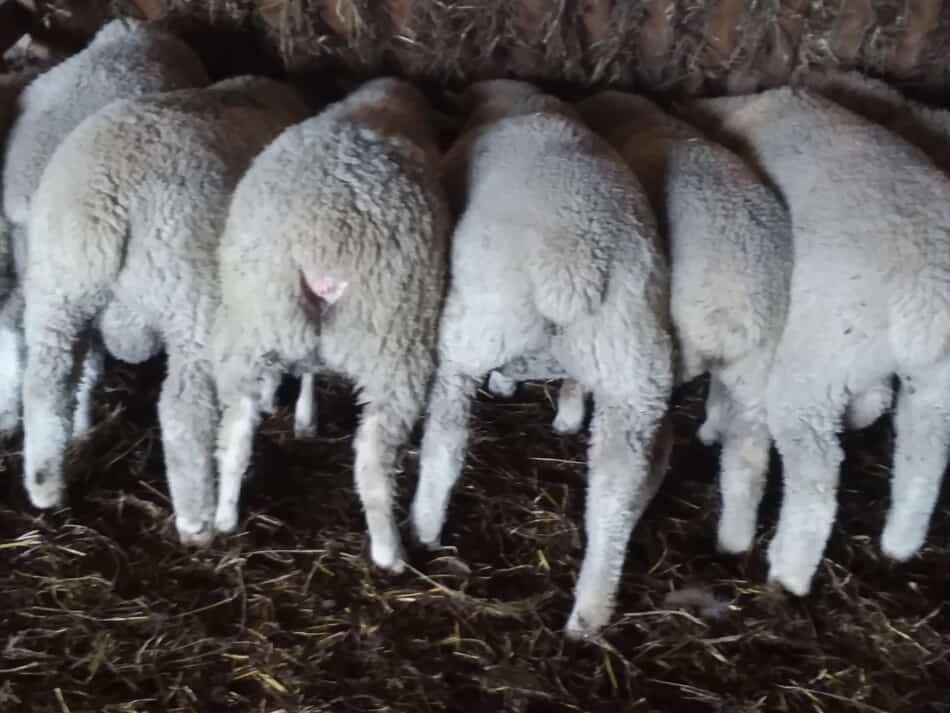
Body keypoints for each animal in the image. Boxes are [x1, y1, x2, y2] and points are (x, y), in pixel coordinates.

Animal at [21, 75, 312, 544]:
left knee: (45, 386)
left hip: (57, 291)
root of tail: (105, 202)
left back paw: (46, 488)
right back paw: (196, 523)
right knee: (183, 413)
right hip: (190, 303)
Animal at [214, 76, 452, 568]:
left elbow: (309, 369)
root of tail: (319, 241)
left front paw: (306, 420)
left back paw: (224, 515)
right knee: (372, 462)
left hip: (253, 321)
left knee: (235, 431)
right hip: (392, 340)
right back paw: (389, 553)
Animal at [410, 79, 676, 640]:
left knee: (447, 436)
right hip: (633, 369)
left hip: (475, 326)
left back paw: (423, 525)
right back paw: (590, 612)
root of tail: (574, 262)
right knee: (614, 494)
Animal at [684, 87, 950, 596]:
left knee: (816, 482)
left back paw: (788, 572)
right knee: (924, 455)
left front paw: (712, 426)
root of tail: (925, 292)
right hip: (934, 381)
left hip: (813, 364)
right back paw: (899, 544)